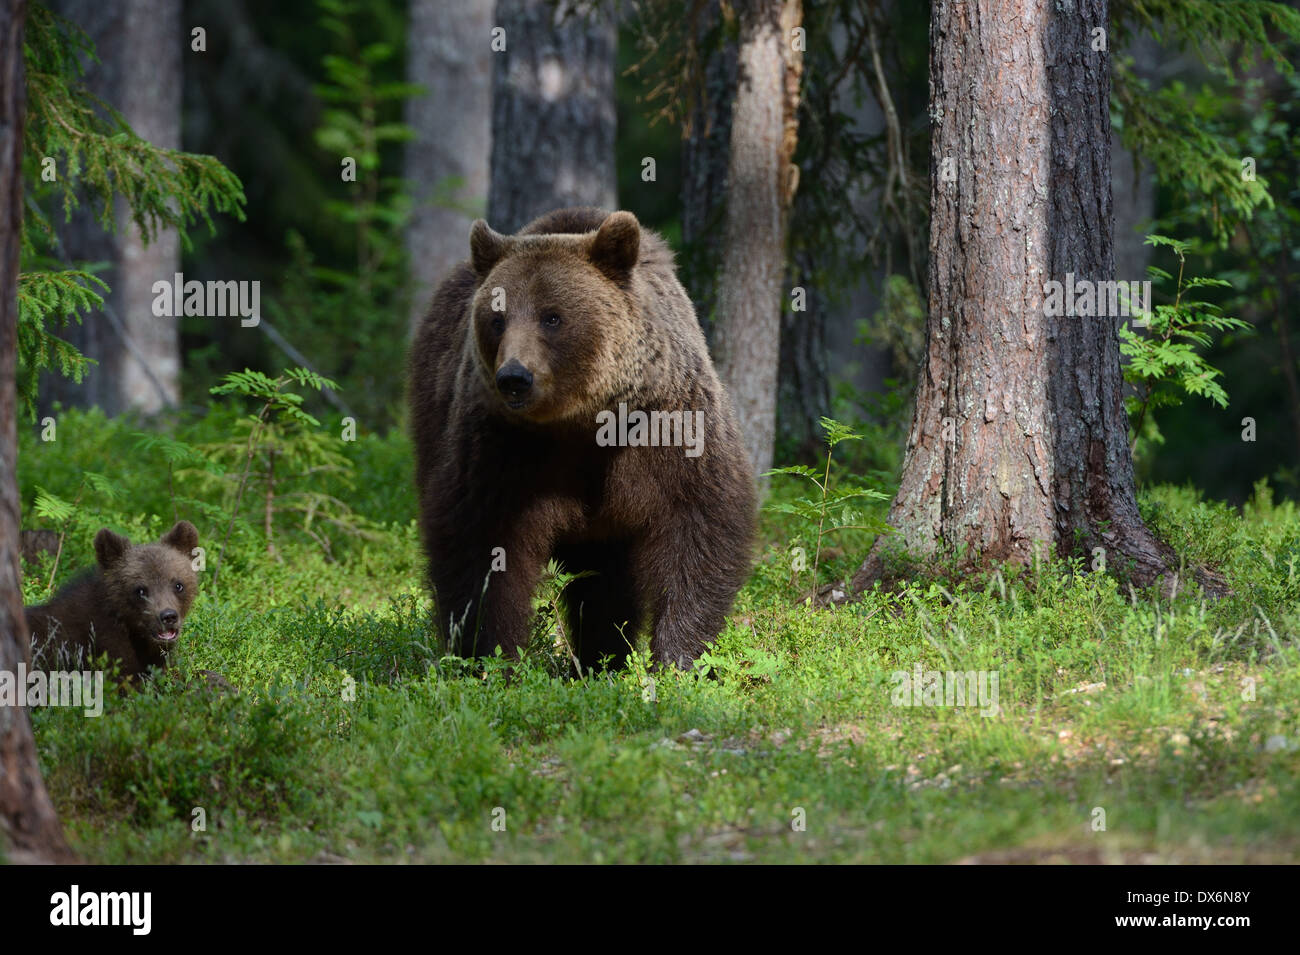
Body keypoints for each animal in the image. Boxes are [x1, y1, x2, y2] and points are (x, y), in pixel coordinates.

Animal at [408, 207, 756, 671]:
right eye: (496, 318)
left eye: (552, 316)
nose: (514, 377)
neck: (584, 422)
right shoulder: (502, 448)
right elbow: (480, 546)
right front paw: (493, 656)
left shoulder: (667, 430)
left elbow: (699, 527)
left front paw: (678, 657)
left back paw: (602, 658)